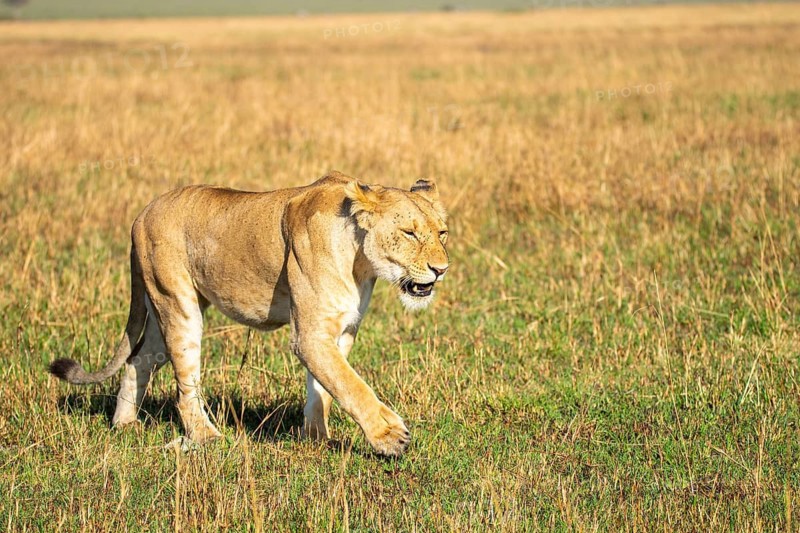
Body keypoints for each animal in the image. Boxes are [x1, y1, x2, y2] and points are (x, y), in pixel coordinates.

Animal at [48, 171, 449, 457]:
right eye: (409, 233)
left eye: (442, 232)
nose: (441, 269)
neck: (361, 261)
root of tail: (142, 213)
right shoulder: (309, 335)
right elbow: (351, 385)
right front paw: (389, 436)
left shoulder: (341, 330)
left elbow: (324, 387)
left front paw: (316, 438)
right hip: (178, 304)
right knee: (185, 381)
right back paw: (206, 437)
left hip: (163, 311)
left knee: (139, 359)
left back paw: (124, 425)